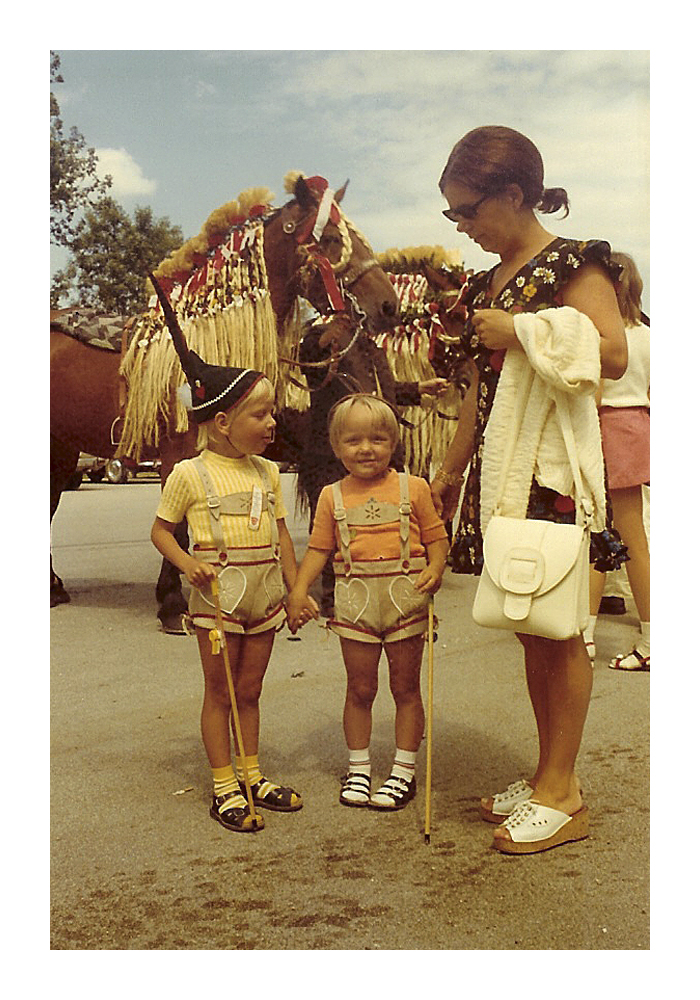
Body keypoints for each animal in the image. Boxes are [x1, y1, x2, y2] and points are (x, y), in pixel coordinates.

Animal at [50, 171, 400, 624]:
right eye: (329, 241)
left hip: (61, 449)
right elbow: (179, 525)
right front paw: (172, 603)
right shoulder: (179, 453)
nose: (389, 305)